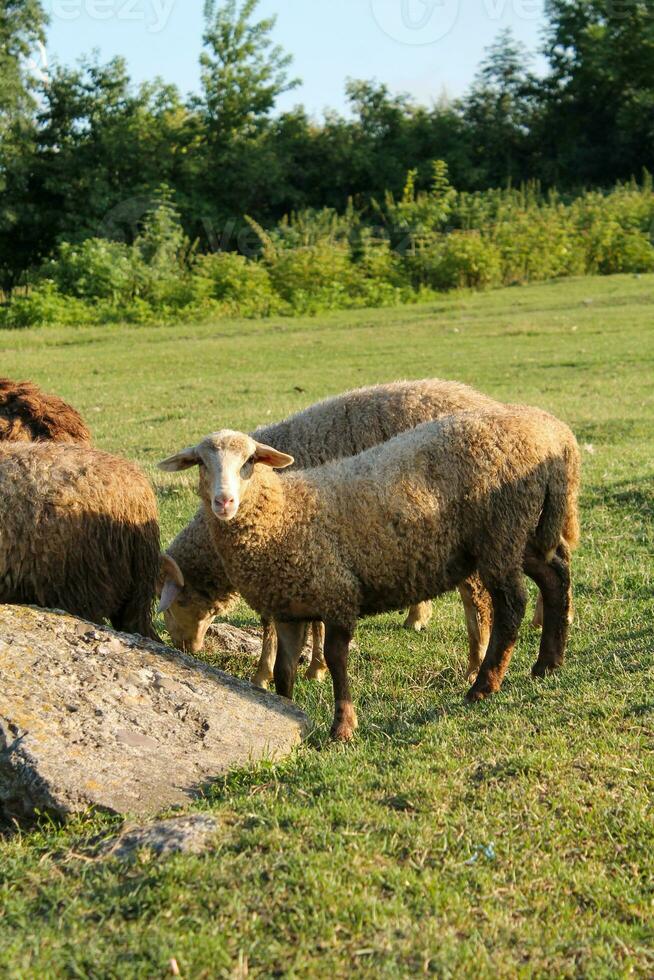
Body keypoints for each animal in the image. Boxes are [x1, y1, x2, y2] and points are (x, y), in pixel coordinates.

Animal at [161, 408, 580, 744]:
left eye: (249, 460)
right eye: (200, 462)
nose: (224, 501)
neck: (284, 512)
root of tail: (555, 432)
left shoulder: (337, 593)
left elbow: (336, 659)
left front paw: (343, 727)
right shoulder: (289, 607)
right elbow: (283, 670)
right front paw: (283, 710)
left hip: (501, 531)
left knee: (512, 605)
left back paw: (484, 685)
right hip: (527, 530)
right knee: (555, 576)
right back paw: (548, 663)